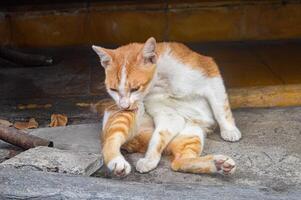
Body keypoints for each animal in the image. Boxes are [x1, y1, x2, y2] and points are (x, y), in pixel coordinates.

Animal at [92, 37, 240, 177]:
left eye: (135, 88)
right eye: (113, 90)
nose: (124, 106)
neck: (161, 81)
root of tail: (138, 141)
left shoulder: (210, 75)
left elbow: (221, 109)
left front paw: (229, 130)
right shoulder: (167, 115)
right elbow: (158, 137)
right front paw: (150, 159)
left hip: (191, 132)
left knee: (179, 162)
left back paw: (220, 164)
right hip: (131, 112)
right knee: (110, 141)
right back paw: (117, 163)